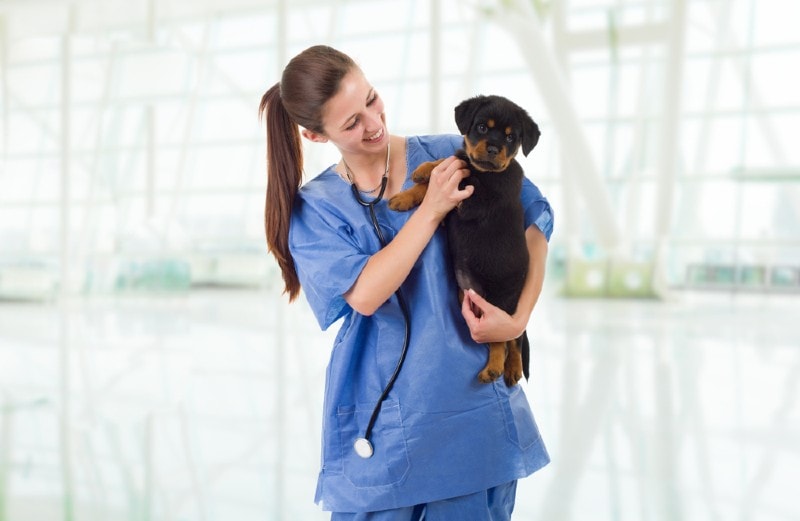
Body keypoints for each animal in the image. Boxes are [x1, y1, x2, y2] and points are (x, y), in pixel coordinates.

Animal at [388, 94, 536, 386]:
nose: (493, 148)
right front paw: (416, 181)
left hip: (503, 304)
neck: (488, 172)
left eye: (511, 137)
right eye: (481, 127)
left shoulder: (473, 201)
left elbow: (462, 169)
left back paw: (498, 369)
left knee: (507, 339)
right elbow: (453, 162)